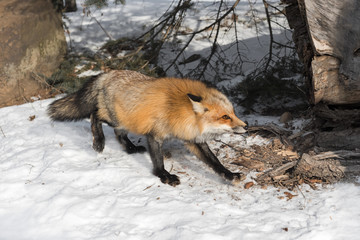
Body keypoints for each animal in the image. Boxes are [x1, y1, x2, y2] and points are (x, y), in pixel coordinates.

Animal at [48, 69, 248, 186]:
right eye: (225, 117)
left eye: (233, 113)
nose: (246, 127)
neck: (178, 110)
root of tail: (107, 73)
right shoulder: (155, 135)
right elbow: (158, 160)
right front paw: (164, 176)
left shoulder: (192, 139)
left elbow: (215, 162)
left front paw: (230, 175)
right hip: (114, 118)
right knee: (94, 114)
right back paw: (98, 141)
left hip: (125, 121)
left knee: (118, 133)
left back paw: (130, 148)